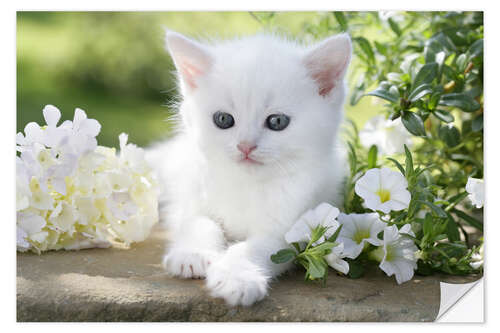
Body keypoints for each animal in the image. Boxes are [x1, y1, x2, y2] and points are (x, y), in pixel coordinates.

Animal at [146, 29, 352, 304]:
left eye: (277, 121)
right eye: (223, 119)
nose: (245, 146)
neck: (246, 183)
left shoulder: (291, 228)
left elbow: (254, 247)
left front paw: (237, 278)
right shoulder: (194, 195)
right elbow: (199, 222)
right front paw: (193, 254)